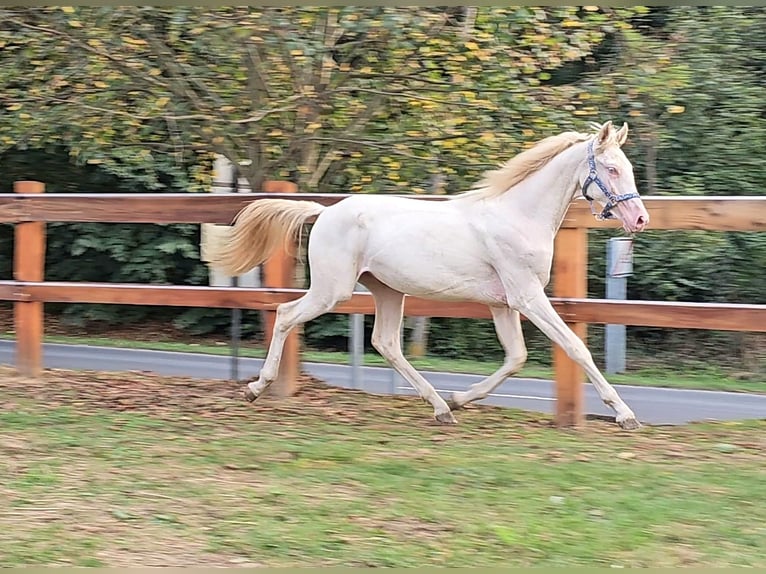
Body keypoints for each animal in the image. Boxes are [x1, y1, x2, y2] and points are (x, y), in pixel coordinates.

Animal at [213, 121, 652, 432]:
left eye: (629, 168)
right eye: (611, 169)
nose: (640, 219)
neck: (517, 216)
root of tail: (324, 212)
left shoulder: (503, 304)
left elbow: (516, 358)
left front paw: (459, 398)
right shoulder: (527, 296)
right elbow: (576, 348)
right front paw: (625, 414)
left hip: (387, 291)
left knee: (385, 342)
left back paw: (442, 407)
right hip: (331, 290)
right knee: (287, 314)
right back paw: (256, 388)